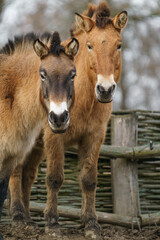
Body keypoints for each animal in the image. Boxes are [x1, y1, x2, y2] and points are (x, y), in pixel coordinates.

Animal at [8, 1, 128, 240]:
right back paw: (18, 218)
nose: (105, 89)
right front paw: (52, 224)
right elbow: (54, 178)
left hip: (36, 146)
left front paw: (91, 224)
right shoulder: (55, 138)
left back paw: (28, 219)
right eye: (89, 46)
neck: (84, 99)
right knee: (16, 171)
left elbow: (89, 180)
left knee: (28, 174)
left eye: (118, 46)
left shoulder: (95, 137)